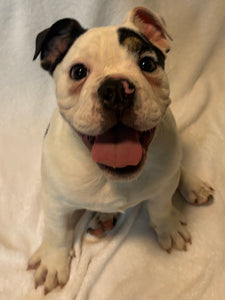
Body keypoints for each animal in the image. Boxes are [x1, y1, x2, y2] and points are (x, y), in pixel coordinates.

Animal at [27, 7, 214, 296]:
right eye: (78, 72)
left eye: (147, 64)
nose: (115, 89)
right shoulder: (55, 199)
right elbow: (56, 230)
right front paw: (53, 261)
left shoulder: (163, 186)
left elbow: (161, 207)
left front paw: (168, 227)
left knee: (179, 168)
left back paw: (193, 185)